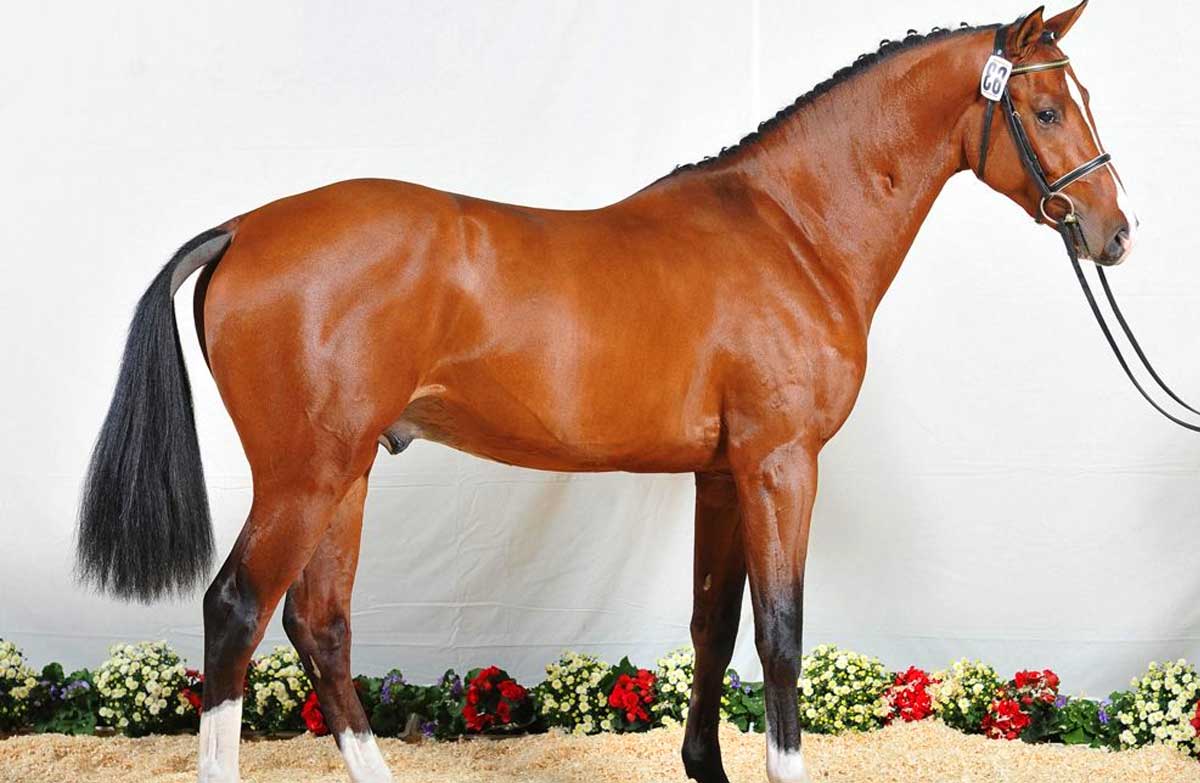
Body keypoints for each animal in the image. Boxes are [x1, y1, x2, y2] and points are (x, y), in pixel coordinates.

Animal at [76, 3, 1135, 782]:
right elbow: (782, 630)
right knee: (237, 611)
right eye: (1047, 111)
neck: (792, 229)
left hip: (345, 474)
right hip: (305, 473)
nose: (1115, 230)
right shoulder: (781, 465)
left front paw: (705, 765)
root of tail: (242, 230)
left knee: (319, 623)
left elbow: (714, 624)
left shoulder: (723, 474)